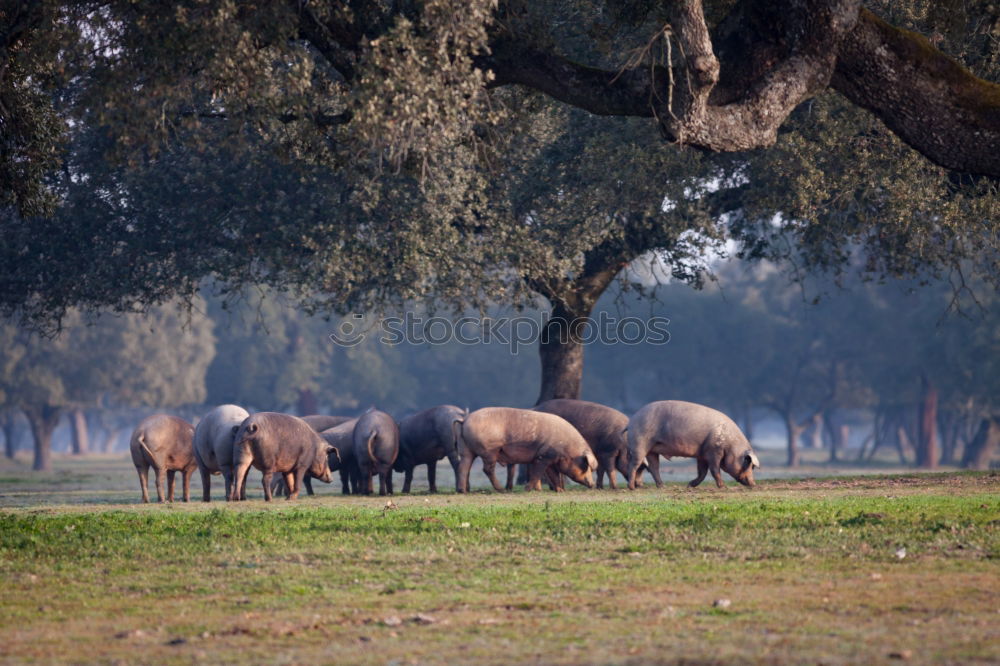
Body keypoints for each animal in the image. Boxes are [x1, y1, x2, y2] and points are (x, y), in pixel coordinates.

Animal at [454, 404, 592, 492]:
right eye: (585, 466)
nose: (592, 484)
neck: (567, 448)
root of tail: (464, 420)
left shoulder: (549, 459)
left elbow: (552, 475)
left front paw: (559, 490)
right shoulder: (544, 456)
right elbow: (537, 473)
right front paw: (528, 490)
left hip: (465, 448)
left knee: (463, 466)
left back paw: (463, 491)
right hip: (489, 450)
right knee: (487, 469)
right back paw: (502, 490)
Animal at [624, 400, 756, 488]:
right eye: (748, 463)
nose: (753, 483)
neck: (730, 444)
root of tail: (632, 420)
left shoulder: (702, 454)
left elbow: (702, 472)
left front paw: (690, 485)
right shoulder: (713, 451)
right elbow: (714, 469)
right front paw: (722, 486)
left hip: (652, 449)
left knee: (654, 466)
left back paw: (662, 486)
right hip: (640, 443)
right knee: (634, 464)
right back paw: (632, 487)